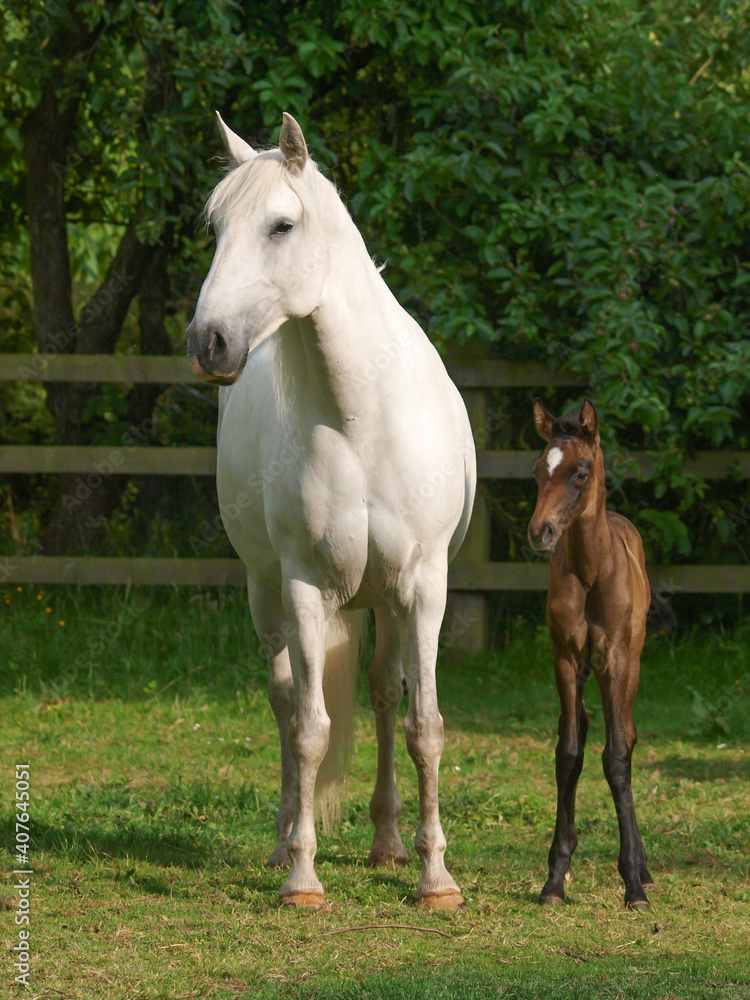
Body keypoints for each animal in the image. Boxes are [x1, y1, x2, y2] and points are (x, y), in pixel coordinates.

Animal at [187, 112, 476, 910]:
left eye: (281, 225)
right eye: (215, 226)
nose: (208, 342)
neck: (360, 419)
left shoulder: (424, 586)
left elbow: (424, 724)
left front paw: (435, 878)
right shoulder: (306, 588)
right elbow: (312, 729)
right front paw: (301, 877)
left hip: (385, 602)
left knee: (380, 694)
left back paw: (388, 843)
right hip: (267, 592)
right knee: (288, 705)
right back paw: (286, 837)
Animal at [527, 398, 657, 910]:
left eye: (581, 472)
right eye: (538, 471)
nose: (539, 532)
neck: (591, 571)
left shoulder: (616, 660)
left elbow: (617, 757)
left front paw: (633, 883)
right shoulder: (564, 659)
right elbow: (568, 755)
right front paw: (554, 878)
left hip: (628, 667)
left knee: (628, 735)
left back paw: (645, 869)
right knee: (582, 726)